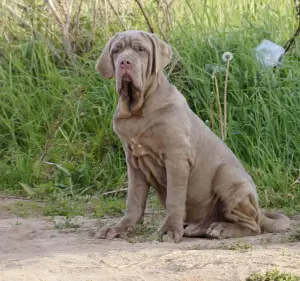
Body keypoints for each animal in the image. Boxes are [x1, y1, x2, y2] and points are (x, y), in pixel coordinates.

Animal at [94, 30, 290, 241]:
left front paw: (170, 229)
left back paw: (222, 229)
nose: (125, 62)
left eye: (141, 49)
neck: (137, 109)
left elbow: (175, 197)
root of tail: (261, 211)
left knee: (253, 226)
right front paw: (119, 227)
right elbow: (134, 201)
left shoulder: (176, 157)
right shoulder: (134, 162)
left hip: (227, 174)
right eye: (116, 51)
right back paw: (198, 228)